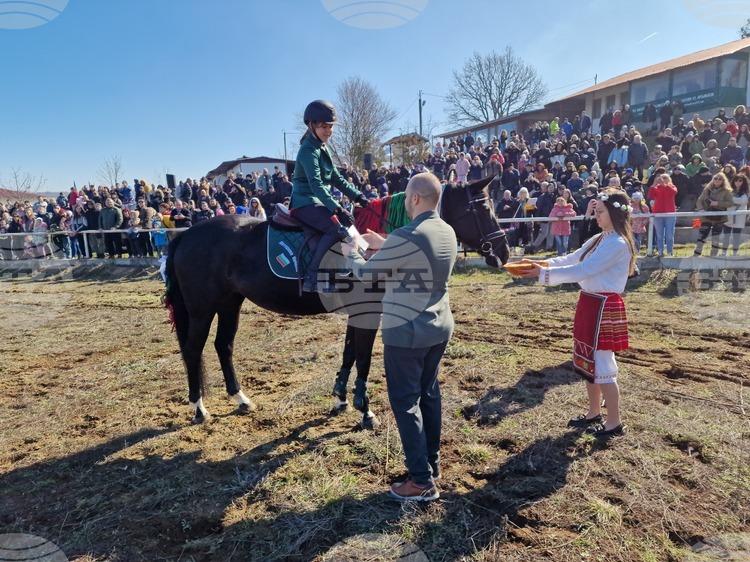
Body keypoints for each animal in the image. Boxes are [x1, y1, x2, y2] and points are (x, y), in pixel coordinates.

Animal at [164, 175, 509, 424]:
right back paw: (198, 408)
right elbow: (363, 358)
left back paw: (240, 399)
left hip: (229, 302)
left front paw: (342, 398)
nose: (503, 252)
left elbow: (349, 353)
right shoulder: (369, 313)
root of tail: (187, 234)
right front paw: (364, 410)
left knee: (223, 345)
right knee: (193, 349)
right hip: (202, 308)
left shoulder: (358, 313)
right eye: (483, 209)